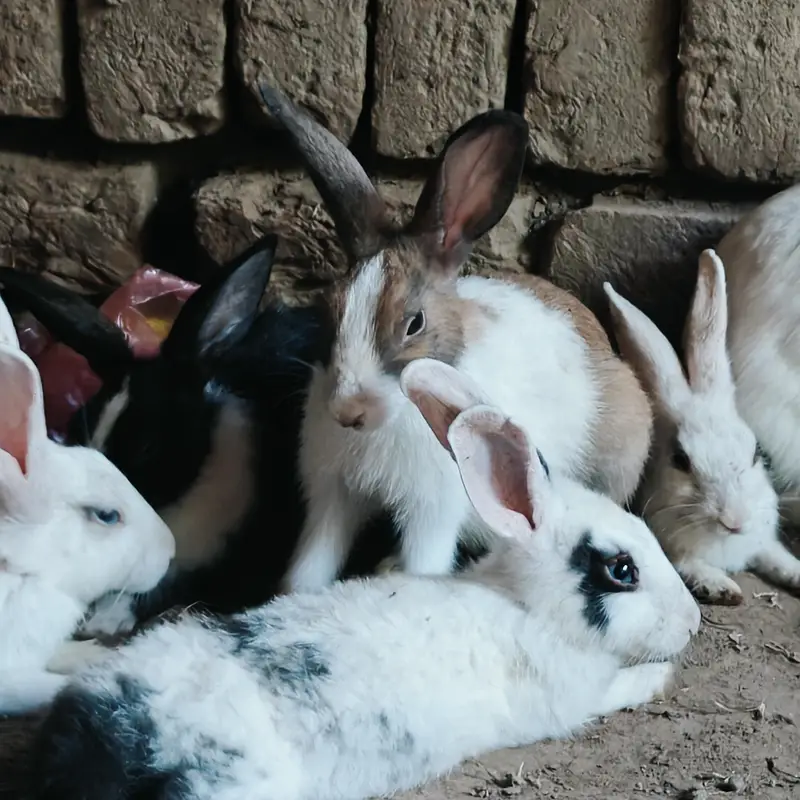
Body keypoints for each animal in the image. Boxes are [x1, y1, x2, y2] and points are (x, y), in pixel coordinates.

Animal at [31, 356, 699, 800]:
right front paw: (662, 676)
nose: (693, 622)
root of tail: (107, 745)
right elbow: (623, 687)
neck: (522, 606)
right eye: (622, 569)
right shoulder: (574, 697)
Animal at [257, 83, 653, 593]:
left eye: (414, 324)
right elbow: (310, 567)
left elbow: (425, 560)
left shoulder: (432, 511)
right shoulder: (333, 498)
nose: (347, 411)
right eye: (329, 310)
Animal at [604, 249, 800, 605]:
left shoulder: (761, 539)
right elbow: (688, 565)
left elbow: (774, 555)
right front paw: (723, 588)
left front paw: (797, 573)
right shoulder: (670, 546)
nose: (735, 521)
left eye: (756, 454)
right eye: (681, 460)